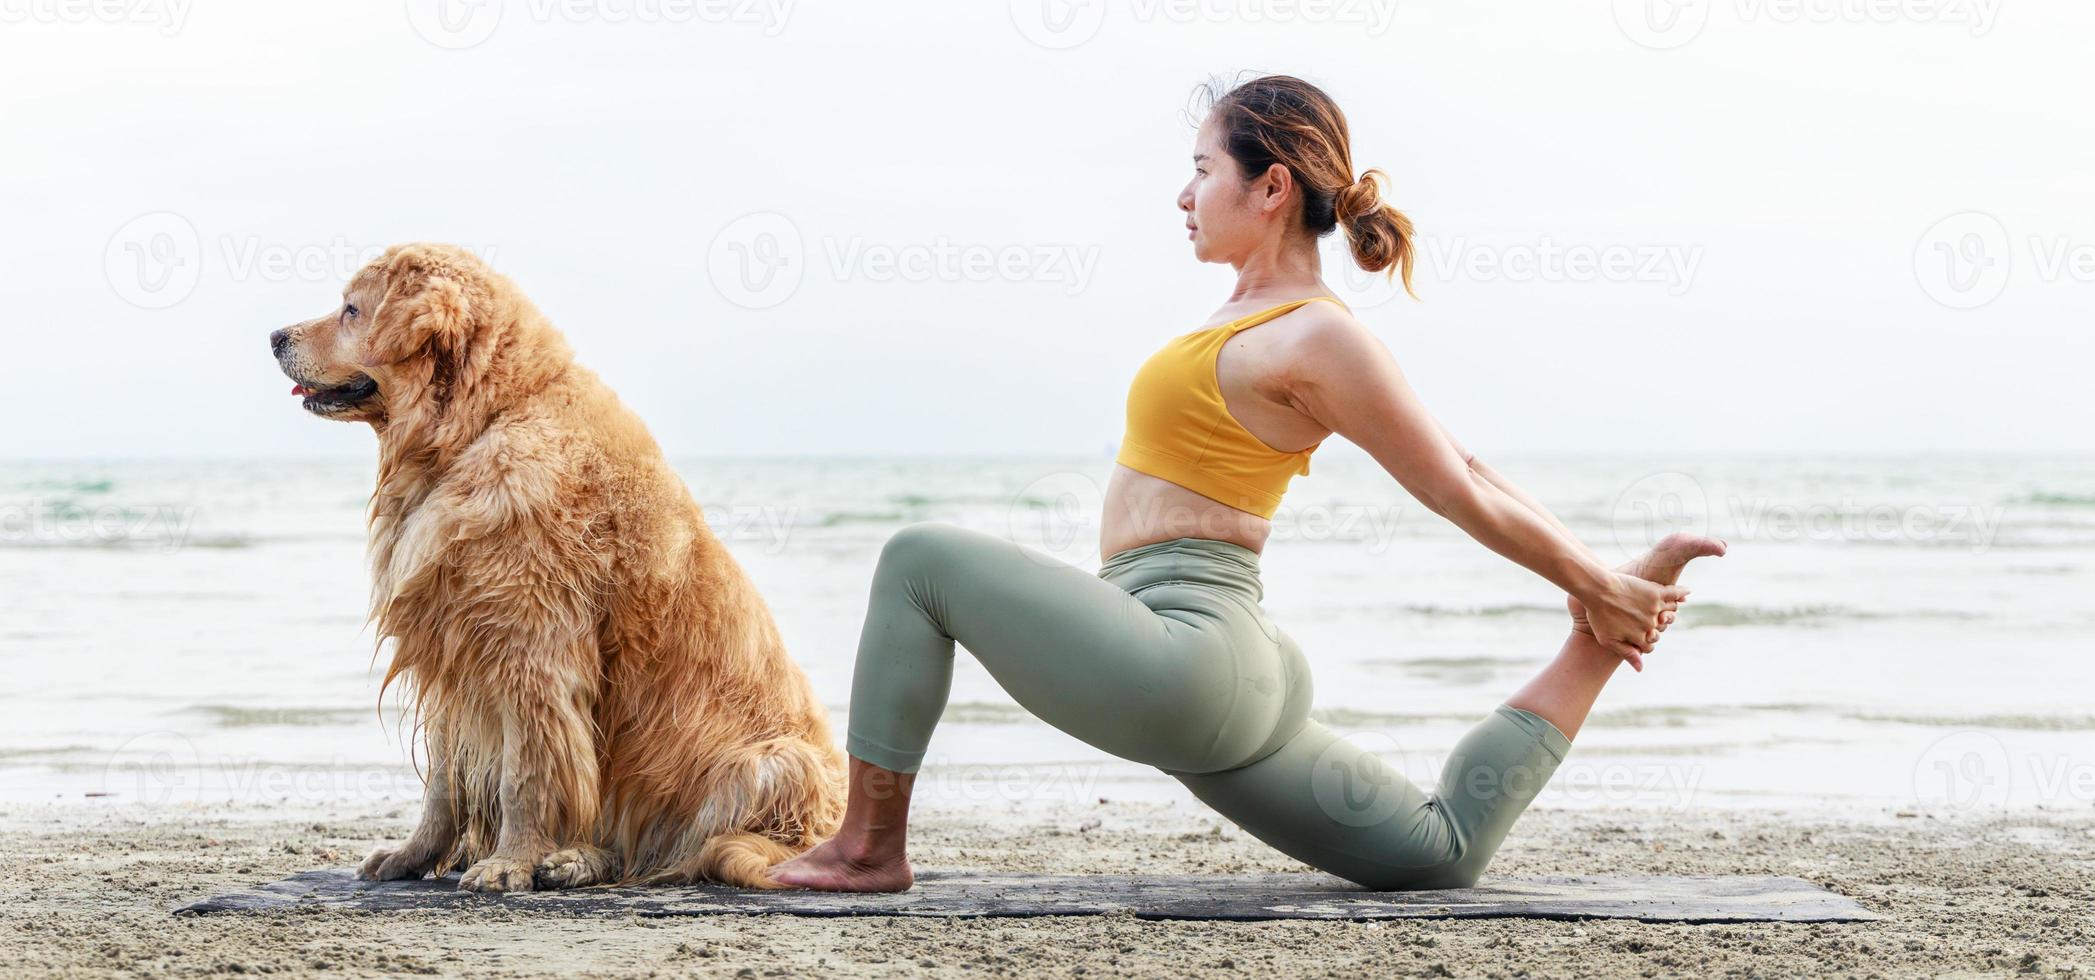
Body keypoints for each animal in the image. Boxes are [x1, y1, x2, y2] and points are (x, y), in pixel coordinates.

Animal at [270, 242, 842, 887]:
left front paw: (510, 861)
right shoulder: (451, 638)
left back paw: (576, 859)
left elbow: (527, 776)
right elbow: (442, 784)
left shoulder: (534, 650)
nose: (274, 336)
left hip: (771, 763)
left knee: (679, 851)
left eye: (351, 310)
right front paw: (411, 855)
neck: (485, 420)